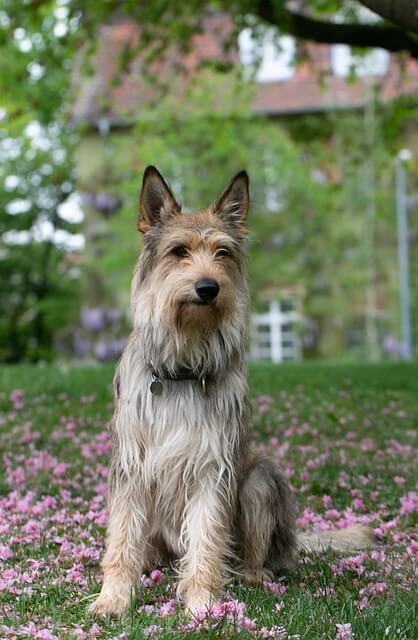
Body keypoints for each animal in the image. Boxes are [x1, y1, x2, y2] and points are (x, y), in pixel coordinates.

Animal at [90, 168, 374, 616]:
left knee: (258, 550)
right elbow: (121, 538)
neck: (183, 369)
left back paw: (252, 574)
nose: (208, 287)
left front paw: (202, 604)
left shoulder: (212, 469)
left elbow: (207, 540)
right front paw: (114, 598)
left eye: (222, 252)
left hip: (260, 479)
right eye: (179, 251)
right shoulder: (131, 468)